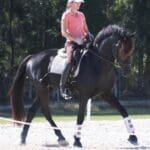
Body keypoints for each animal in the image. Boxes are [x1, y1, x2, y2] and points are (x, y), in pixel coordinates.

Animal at [8, 24, 137, 148]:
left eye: (131, 50)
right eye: (121, 49)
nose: (127, 71)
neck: (98, 63)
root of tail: (32, 57)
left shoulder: (106, 93)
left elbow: (123, 110)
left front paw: (133, 137)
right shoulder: (84, 95)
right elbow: (80, 117)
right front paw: (77, 141)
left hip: (47, 89)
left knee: (33, 111)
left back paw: (25, 138)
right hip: (42, 89)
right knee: (46, 112)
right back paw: (60, 137)